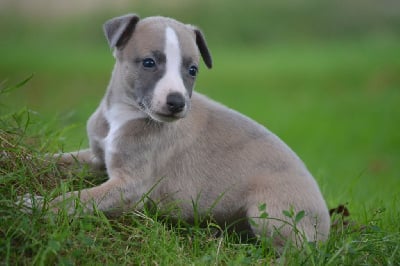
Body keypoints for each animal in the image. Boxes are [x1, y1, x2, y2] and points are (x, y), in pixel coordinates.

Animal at [24, 14, 332, 247]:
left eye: (193, 70)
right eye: (149, 62)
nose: (176, 102)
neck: (123, 115)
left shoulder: (131, 186)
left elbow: (78, 199)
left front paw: (35, 205)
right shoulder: (98, 158)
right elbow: (58, 160)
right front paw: (26, 162)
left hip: (269, 212)